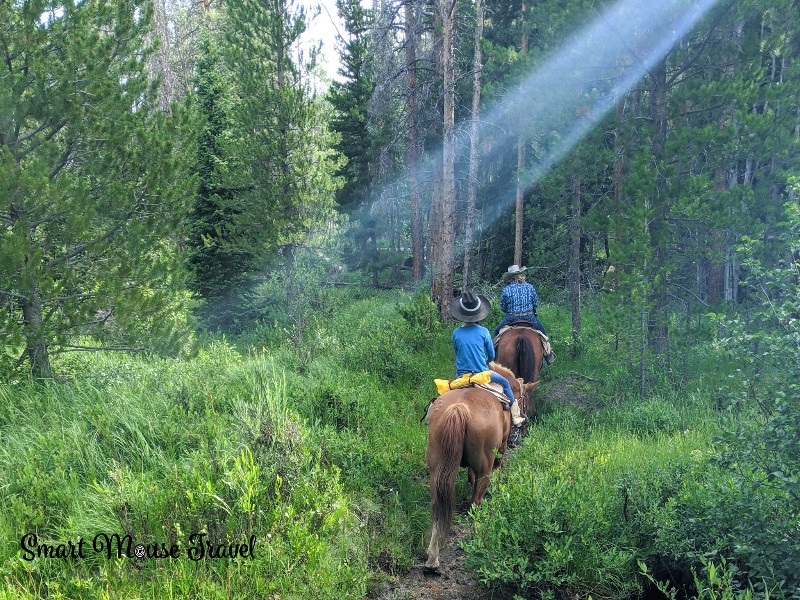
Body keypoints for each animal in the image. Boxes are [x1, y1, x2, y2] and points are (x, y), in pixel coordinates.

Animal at [422, 360, 536, 572]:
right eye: (524, 398)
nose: (523, 429)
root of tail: (459, 408)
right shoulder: (501, 449)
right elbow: (497, 468)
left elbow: (470, 477)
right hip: (486, 464)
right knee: (477, 498)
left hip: (436, 468)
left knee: (436, 506)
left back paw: (432, 557)